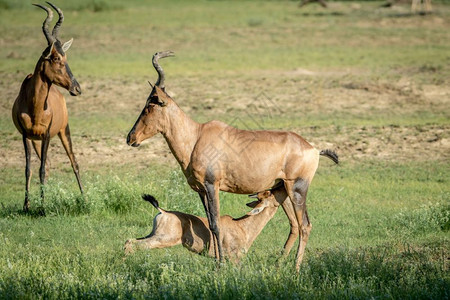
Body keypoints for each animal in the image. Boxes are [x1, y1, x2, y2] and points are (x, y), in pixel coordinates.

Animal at [11, 2, 82, 213]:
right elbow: (29, 169)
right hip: (36, 140)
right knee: (49, 164)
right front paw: (27, 205)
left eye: (66, 56)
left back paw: (84, 198)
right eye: (56, 58)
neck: (36, 106)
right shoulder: (26, 136)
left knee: (74, 162)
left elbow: (41, 169)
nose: (77, 88)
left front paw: (42, 208)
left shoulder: (47, 135)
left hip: (63, 130)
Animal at [123, 189, 284, 258]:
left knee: (129, 241)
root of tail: (163, 211)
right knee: (136, 245)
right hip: (163, 239)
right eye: (269, 193)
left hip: (152, 234)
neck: (241, 225)